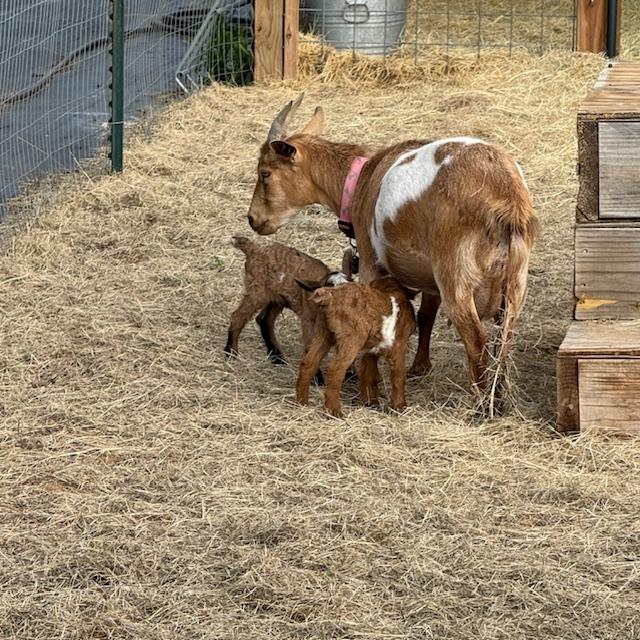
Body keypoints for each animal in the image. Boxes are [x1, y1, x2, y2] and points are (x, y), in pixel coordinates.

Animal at [224, 236, 351, 376]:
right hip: (257, 291)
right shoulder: (308, 320)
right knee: (238, 316)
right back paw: (231, 352)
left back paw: (276, 357)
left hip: (277, 298)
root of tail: (255, 250)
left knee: (264, 320)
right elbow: (310, 348)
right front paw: (317, 377)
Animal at [246, 94, 540, 402]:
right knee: (505, 337)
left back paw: (482, 404)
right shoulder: (429, 276)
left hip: (456, 275)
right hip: (516, 280)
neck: (361, 180)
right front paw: (419, 368)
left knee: (476, 341)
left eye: (264, 173)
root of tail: (505, 197)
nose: (253, 219)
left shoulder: (370, 263)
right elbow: (426, 316)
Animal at [295, 276, 417, 418]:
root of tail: (331, 295)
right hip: (352, 339)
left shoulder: (371, 350)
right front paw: (399, 407)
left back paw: (302, 403)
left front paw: (370, 402)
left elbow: (369, 373)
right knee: (335, 369)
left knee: (308, 364)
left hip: (323, 333)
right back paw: (334, 411)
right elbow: (398, 375)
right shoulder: (398, 345)